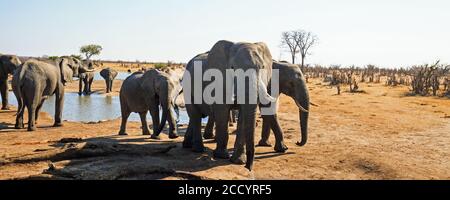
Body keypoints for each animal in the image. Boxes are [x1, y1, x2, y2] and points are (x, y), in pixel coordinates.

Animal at [182, 40, 274, 170]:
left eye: (262, 68)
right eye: (232, 68)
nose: (248, 167)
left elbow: (243, 117)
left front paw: (238, 161)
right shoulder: (219, 81)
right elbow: (222, 112)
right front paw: (221, 156)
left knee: (194, 116)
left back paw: (187, 145)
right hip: (187, 86)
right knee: (195, 114)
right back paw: (198, 149)